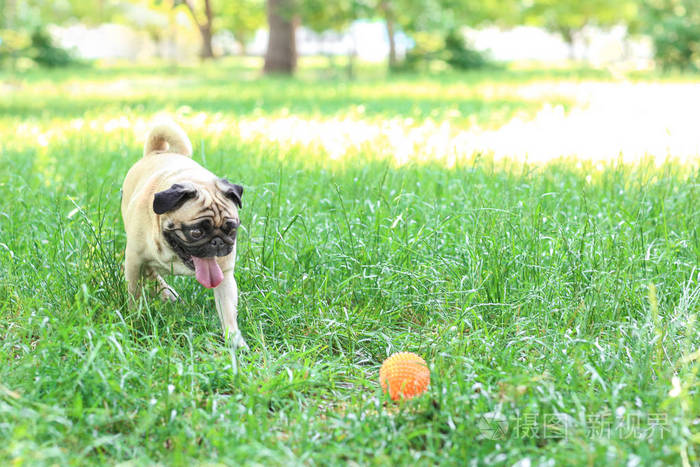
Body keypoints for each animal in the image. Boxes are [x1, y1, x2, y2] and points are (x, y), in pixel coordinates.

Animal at [121, 120, 247, 348]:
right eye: (196, 232)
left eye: (231, 230)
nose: (218, 242)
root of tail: (158, 151)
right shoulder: (134, 261)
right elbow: (134, 295)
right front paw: (135, 321)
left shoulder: (224, 274)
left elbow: (228, 311)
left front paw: (234, 341)